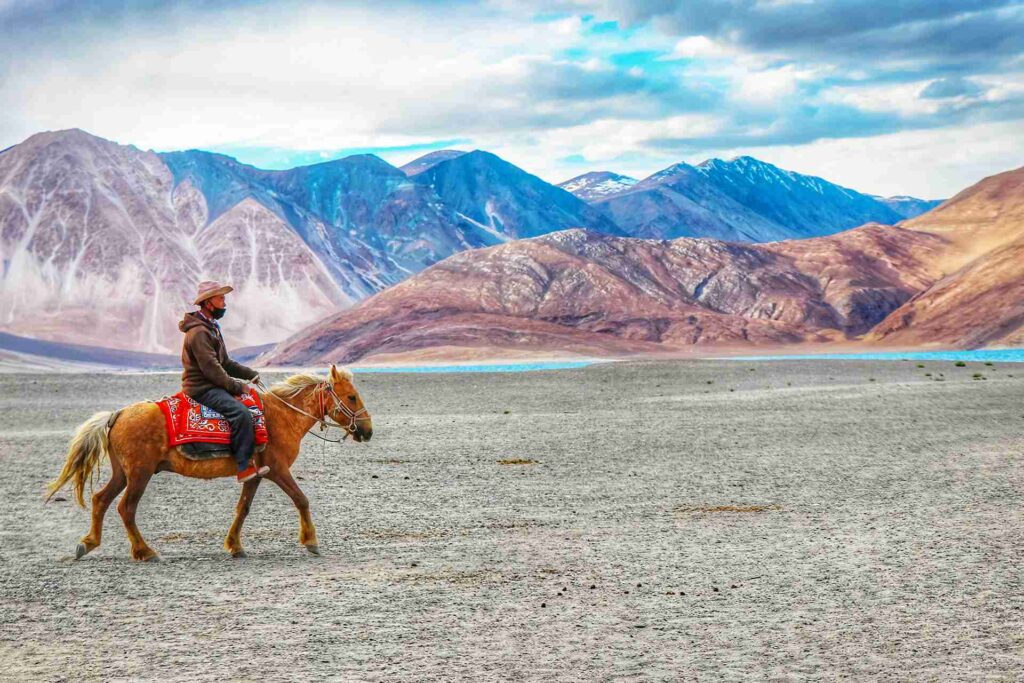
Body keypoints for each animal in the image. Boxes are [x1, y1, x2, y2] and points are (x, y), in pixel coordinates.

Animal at [46, 366, 372, 565]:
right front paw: (311, 541)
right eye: (352, 397)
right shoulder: (279, 470)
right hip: (139, 473)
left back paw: (87, 543)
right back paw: (145, 551)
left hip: (122, 473)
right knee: (126, 508)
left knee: (100, 499)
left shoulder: (256, 474)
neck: (282, 416)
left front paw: (235, 546)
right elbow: (301, 499)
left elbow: (242, 509)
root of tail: (117, 414)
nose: (367, 431)